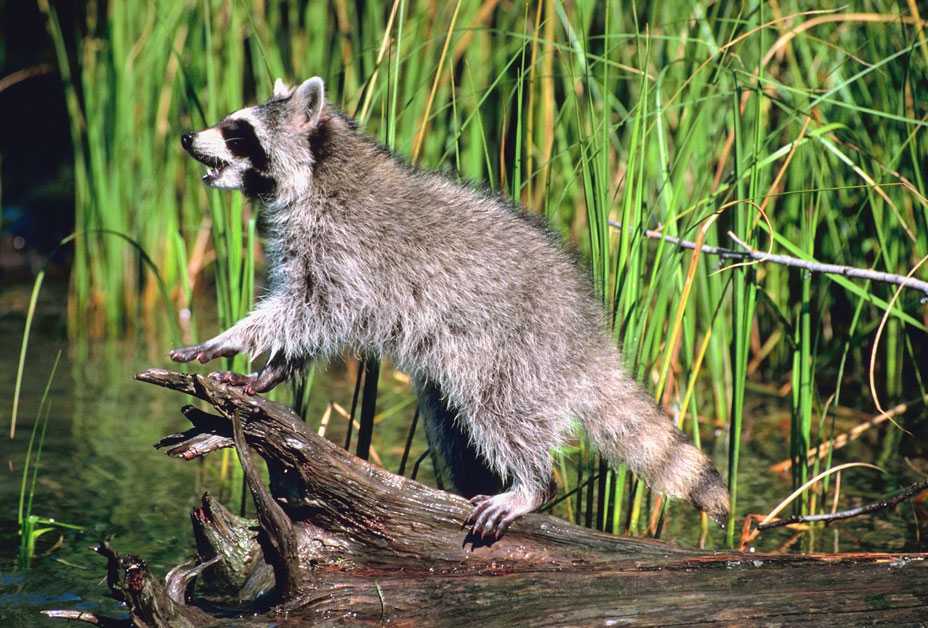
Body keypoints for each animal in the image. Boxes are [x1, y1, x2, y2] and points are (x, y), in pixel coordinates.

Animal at [170, 77, 728, 540]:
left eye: (237, 131)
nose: (187, 138)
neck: (320, 173)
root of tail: (588, 333)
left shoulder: (348, 251)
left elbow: (317, 310)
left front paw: (235, 337)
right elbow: (310, 319)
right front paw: (271, 370)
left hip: (518, 354)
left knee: (500, 413)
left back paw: (532, 485)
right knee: (455, 429)